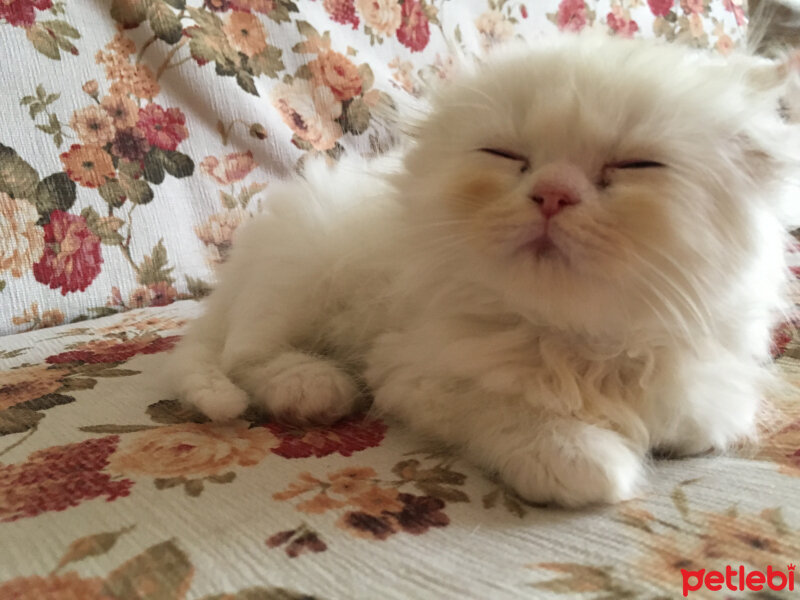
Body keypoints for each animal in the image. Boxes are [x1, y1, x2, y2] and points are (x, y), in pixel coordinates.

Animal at [170, 35, 800, 506]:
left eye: (634, 165)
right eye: (506, 156)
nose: (552, 195)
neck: (579, 346)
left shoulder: (709, 385)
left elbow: (699, 420)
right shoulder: (414, 373)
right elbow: (515, 411)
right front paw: (584, 457)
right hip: (302, 268)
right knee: (245, 356)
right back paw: (313, 385)